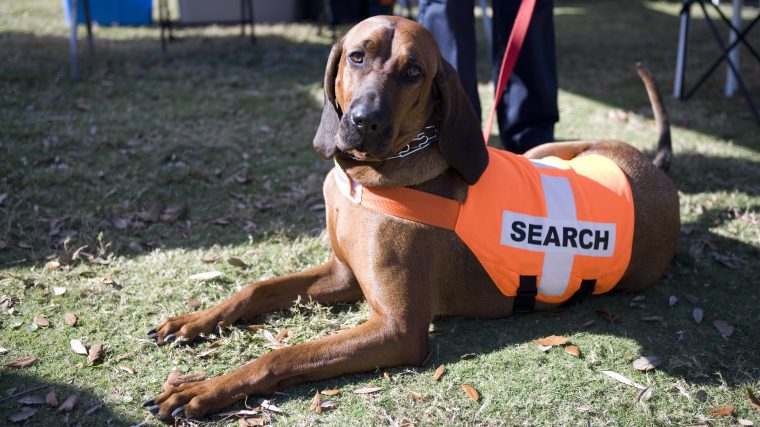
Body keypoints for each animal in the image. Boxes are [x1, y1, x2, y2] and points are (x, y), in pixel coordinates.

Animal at [145, 15, 680, 422]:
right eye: (357, 57)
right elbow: (256, 289)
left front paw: (203, 389)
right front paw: (193, 321)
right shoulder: (344, 275)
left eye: (414, 71)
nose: (365, 121)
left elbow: (285, 353)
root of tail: (657, 171)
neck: (370, 178)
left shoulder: (397, 330)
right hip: (545, 151)